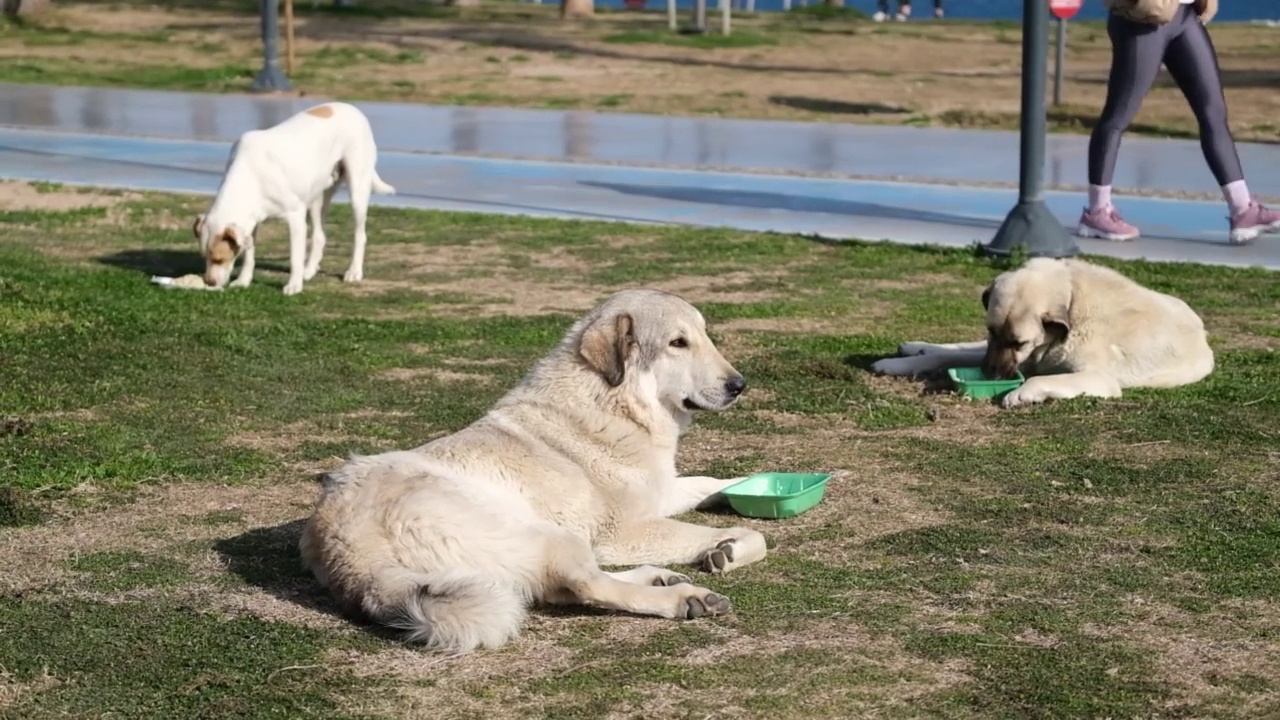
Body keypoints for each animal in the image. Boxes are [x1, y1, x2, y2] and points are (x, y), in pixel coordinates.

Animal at [190, 101, 394, 294]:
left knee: (360, 235)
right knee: (320, 235)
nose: (209, 282)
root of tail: (353, 108)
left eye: (219, 259)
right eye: (204, 257)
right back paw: (309, 270)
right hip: (317, 198)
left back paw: (354, 271)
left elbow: (295, 257)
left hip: (358, 189)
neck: (249, 175)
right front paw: (243, 281)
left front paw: (294, 286)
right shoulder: (251, 222)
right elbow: (249, 254)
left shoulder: (296, 217)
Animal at [296, 285, 768, 650]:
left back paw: (659, 578)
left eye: (704, 335)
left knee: (561, 588)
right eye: (677, 343)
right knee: (587, 584)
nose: (740, 385)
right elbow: (751, 536)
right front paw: (726, 547)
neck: (613, 402)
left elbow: (714, 482)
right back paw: (683, 598)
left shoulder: (661, 491)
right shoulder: (623, 531)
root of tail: (344, 548)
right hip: (548, 533)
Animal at [870, 256, 1208, 404]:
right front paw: (900, 363)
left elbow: (1042, 378)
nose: (991, 375)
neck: (1072, 302)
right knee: (955, 348)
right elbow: (948, 356)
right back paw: (914, 347)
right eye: (992, 332)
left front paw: (1021, 393)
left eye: (1019, 342)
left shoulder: (1098, 378)